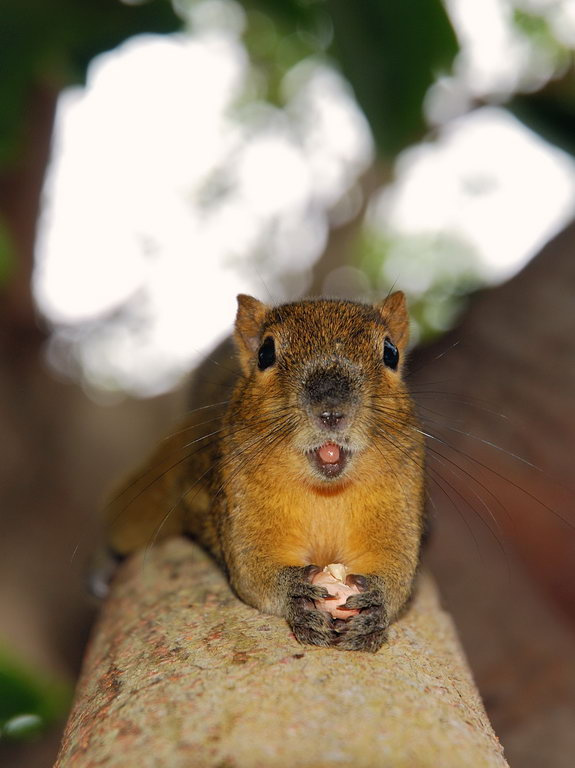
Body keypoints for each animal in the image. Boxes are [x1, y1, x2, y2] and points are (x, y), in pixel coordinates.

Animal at [104, 292, 426, 652]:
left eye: (390, 352)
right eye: (265, 353)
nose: (331, 411)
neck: (326, 492)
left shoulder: (401, 490)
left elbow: (396, 570)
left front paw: (376, 608)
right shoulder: (237, 492)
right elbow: (253, 570)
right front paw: (294, 593)